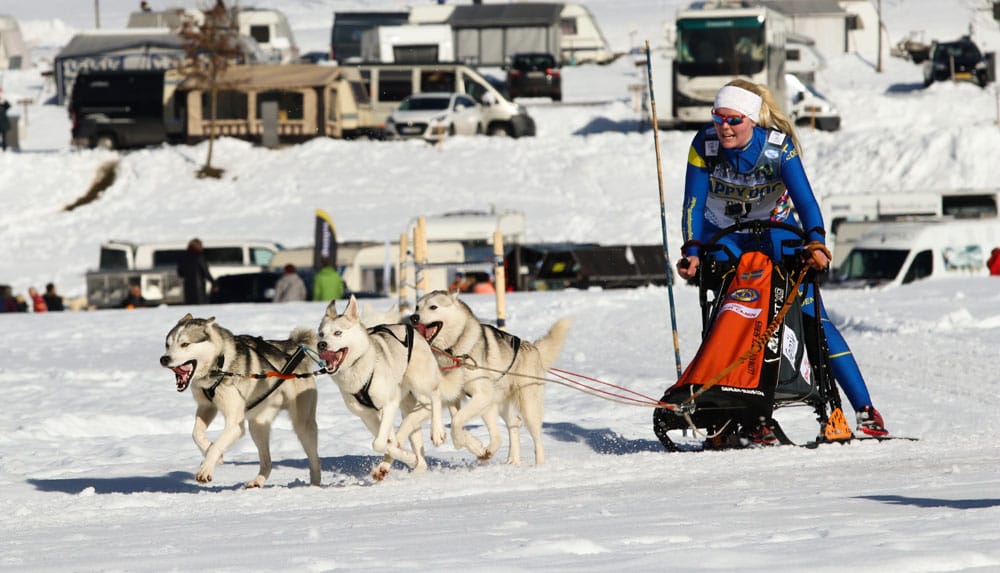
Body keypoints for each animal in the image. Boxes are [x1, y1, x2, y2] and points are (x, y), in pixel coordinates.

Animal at [161, 312, 320, 488]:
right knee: (267, 462)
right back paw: (257, 481)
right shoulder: (207, 407)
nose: (164, 359)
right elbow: (196, 434)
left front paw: (206, 468)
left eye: (185, 344)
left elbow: (217, 445)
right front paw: (213, 455)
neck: (220, 364)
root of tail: (291, 349)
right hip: (257, 426)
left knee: (315, 460)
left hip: (302, 425)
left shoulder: (235, 425)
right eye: (167, 345)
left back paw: (315, 485)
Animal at [316, 294, 460, 478]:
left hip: (420, 381)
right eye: (321, 334)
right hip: (406, 403)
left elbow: (378, 443)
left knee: (435, 396)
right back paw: (416, 465)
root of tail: (409, 328)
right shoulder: (367, 415)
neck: (360, 367)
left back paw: (437, 432)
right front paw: (407, 457)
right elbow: (387, 442)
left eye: (338, 333)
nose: (321, 345)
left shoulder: (389, 403)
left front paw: (407, 457)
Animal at [410, 290, 576, 464]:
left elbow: (456, 421)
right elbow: (455, 417)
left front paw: (460, 441)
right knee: (510, 426)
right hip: (493, 406)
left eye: (433, 307)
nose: (413, 317)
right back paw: (511, 459)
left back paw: (539, 465)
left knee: (535, 438)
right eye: (417, 307)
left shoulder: (482, 394)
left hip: (526, 407)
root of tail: (532, 347)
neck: (453, 351)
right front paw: (465, 441)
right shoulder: (455, 396)